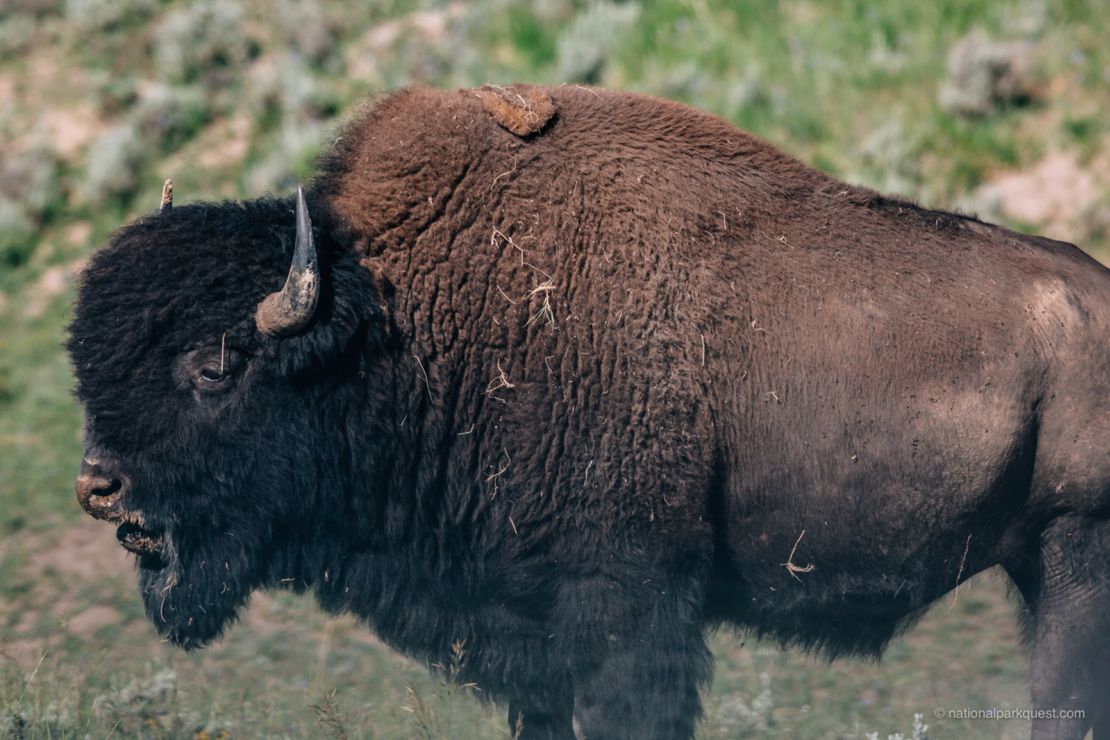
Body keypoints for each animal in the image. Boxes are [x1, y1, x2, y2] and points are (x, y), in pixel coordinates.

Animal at [69, 83, 1110, 736]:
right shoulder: (530, 640)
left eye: (215, 364)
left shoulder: (630, 607)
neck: (400, 323)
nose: (98, 487)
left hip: (1075, 556)